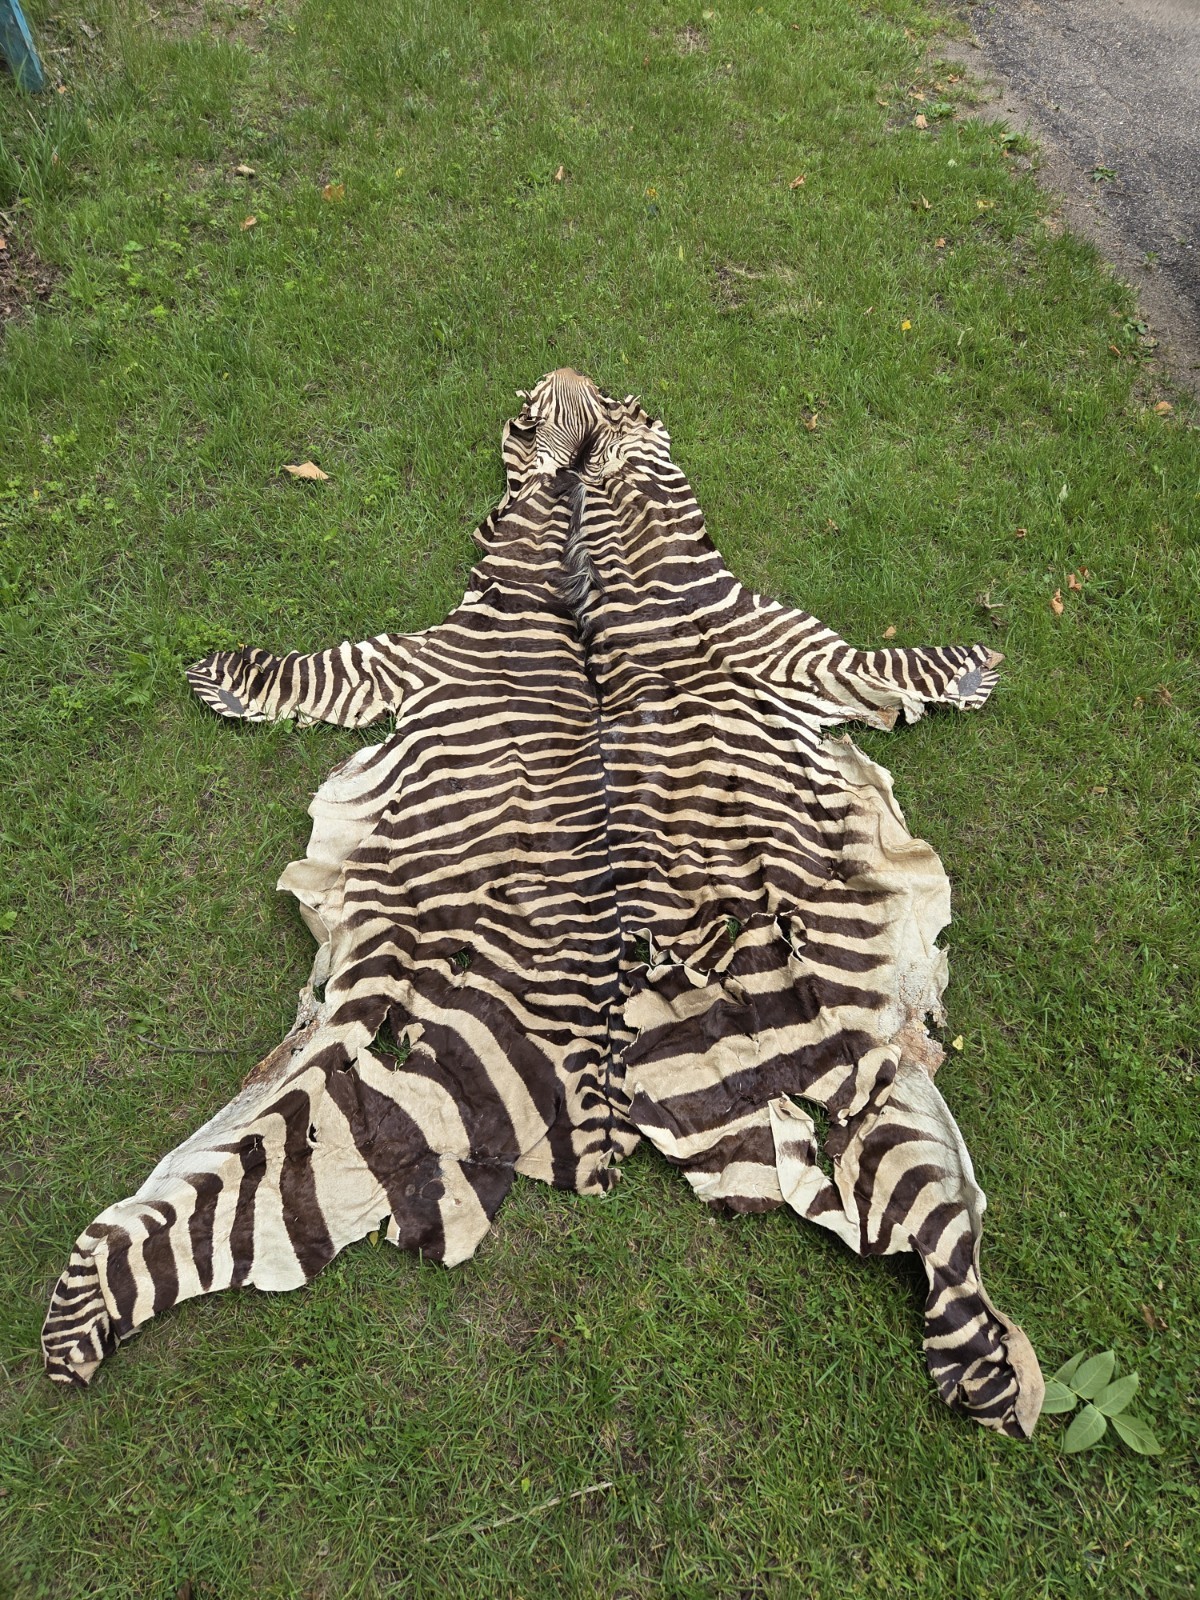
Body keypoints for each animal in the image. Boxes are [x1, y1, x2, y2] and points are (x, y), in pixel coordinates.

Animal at [42, 369, 1043, 1437]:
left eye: (616, 408)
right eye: (535, 416)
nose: (568, 377)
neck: (581, 561)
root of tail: (599, 1100)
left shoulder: (784, 646)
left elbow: (903, 669)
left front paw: (975, 665)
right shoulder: (440, 654)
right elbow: (312, 670)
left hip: (829, 1059)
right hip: (404, 1055)